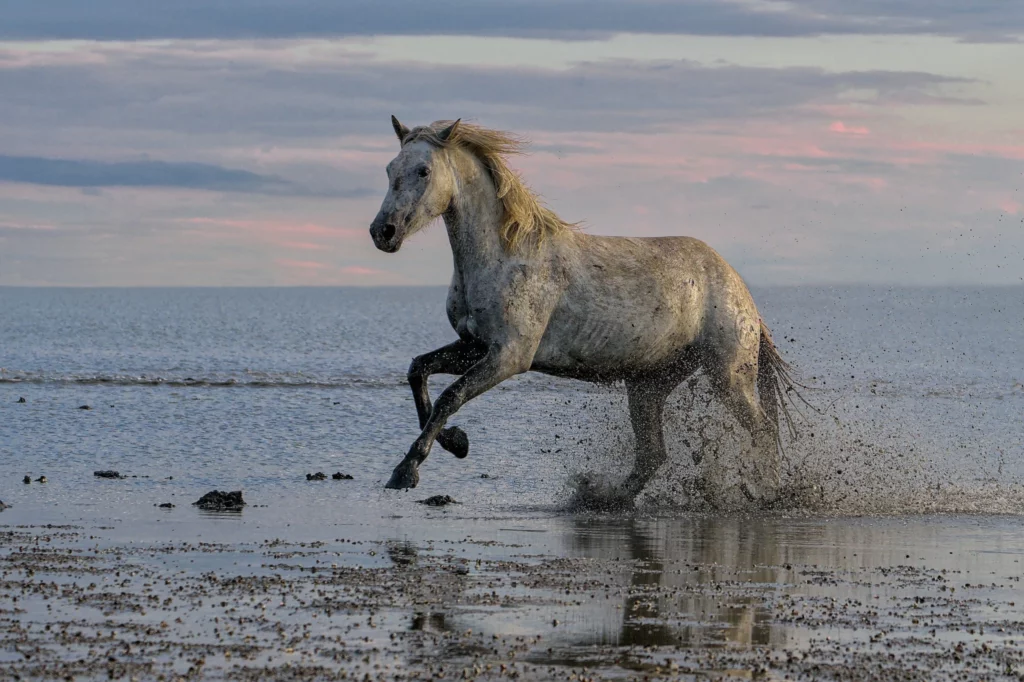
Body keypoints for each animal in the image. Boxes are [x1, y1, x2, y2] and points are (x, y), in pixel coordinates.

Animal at [369, 117, 799, 505]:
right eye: (390, 169)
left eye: (423, 170)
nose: (382, 232)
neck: (505, 254)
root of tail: (743, 296)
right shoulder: (474, 345)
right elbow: (419, 371)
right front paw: (456, 443)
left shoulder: (509, 356)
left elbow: (450, 396)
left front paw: (405, 471)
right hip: (649, 384)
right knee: (653, 453)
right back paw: (607, 498)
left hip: (728, 375)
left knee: (762, 430)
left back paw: (768, 494)